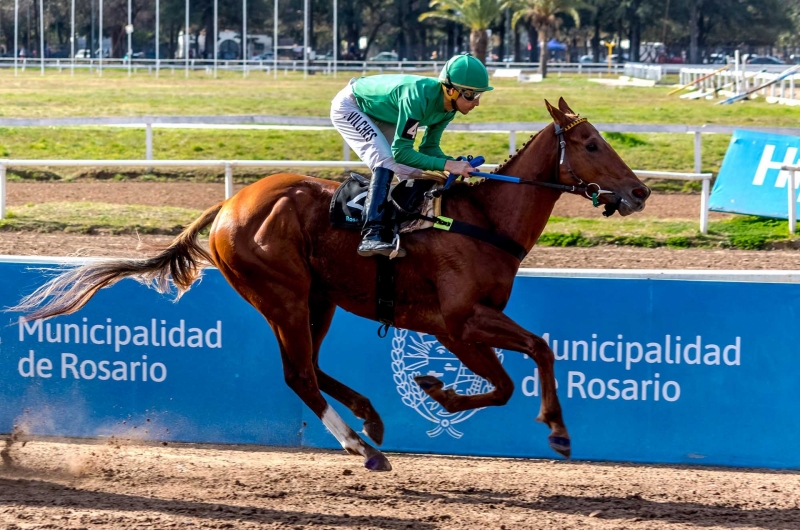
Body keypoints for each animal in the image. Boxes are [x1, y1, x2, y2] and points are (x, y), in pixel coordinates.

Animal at [12, 98, 648, 470]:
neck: (483, 221)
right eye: (590, 144)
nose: (639, 192)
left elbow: (531, 358)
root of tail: (228, 205)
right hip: (284, 295)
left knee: (312, 368)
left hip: (320, 299)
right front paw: (448, 394)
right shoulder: (458, 322)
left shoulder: (467, 323)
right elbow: (515, 373)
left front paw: (543, 425)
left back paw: (370, 420)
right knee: (299, 373)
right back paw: (360, 446)